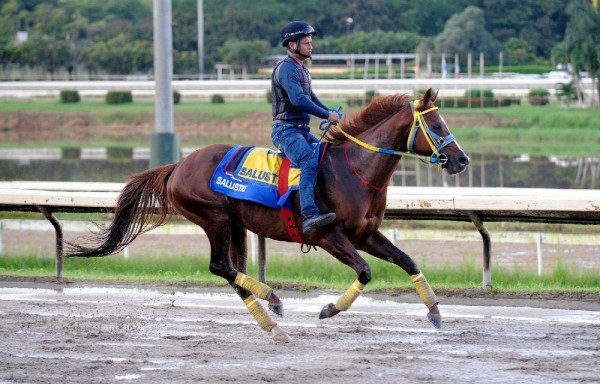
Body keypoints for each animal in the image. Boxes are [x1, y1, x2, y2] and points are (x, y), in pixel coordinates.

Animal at [65, 88, 468, 342]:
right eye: (436, 125)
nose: (462, 159)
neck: (354, 169)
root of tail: (179, 165)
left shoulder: (365, 234)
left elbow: (408, 260)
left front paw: (435, 312)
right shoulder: (327, 235)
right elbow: (366, 272)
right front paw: (329, 309)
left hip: (235, 225)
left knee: (233, 271)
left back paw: (270, 315)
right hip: (215, 218)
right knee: (222, 267)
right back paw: (272, 302)